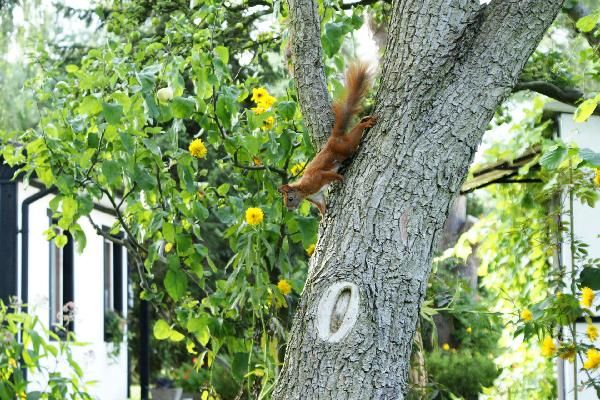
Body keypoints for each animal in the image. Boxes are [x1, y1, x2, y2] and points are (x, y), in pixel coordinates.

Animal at [278, 65, 376, 216]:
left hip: (346, 147)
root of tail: (333, 139)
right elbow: (321, 205)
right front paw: (323, 216)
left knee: (354, 139)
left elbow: (328, 174)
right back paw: (365, 119)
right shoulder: (317, 196)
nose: (289, 209)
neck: (303, 190)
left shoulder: (316, 178)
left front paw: (340, 178)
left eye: (290, 198)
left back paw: (365, 125)